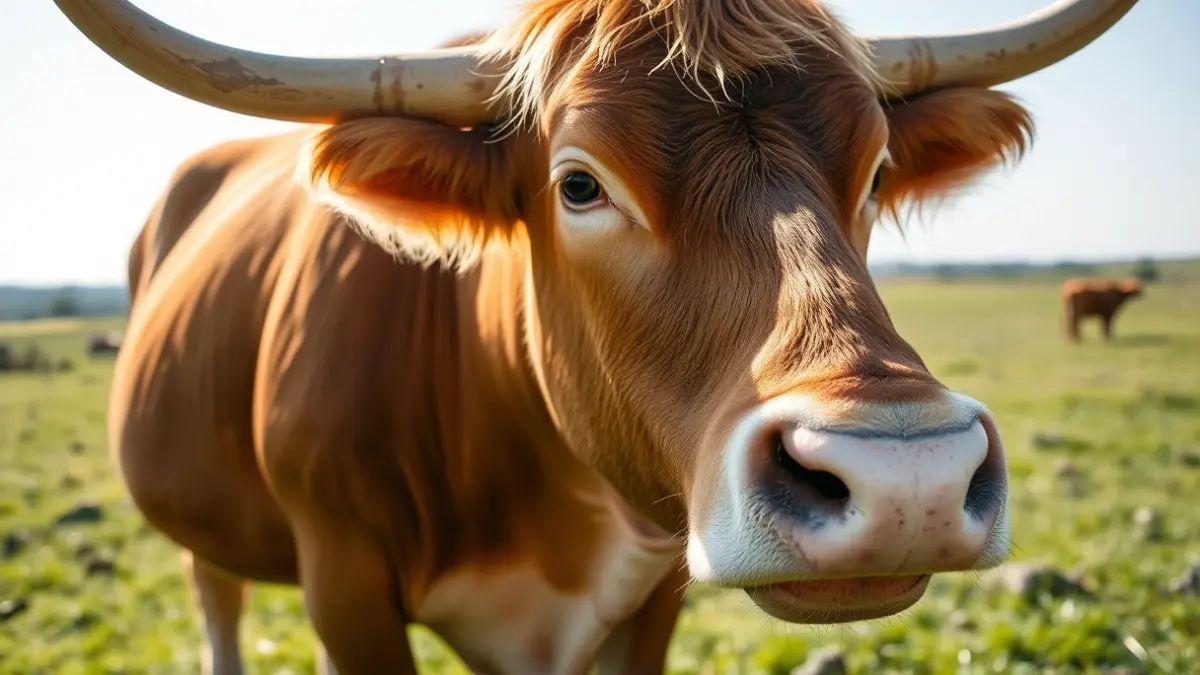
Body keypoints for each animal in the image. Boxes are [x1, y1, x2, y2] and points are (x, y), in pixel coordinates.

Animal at [53, 0, 1142, 673]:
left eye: (875, 174)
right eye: (578, 183)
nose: (906, 477)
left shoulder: (653, 596)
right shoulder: (345, 582)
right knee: (217, 597)